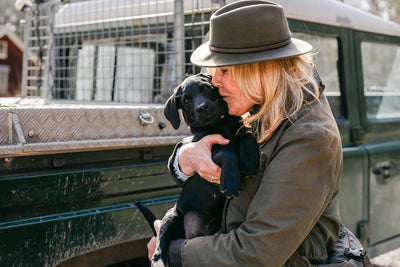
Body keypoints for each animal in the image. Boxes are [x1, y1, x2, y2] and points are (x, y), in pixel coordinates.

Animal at [138, 73, 260, 266]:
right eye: (186, 100)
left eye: (206, 88)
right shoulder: (206, 148)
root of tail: (192, 236)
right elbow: (227, 150)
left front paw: (249, 158)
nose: (202, 107)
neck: (220, 124)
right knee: (160, 247)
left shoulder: (237, 129)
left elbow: (246, 134)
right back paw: (158, 261)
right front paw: (230, 181)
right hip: (172, 216)